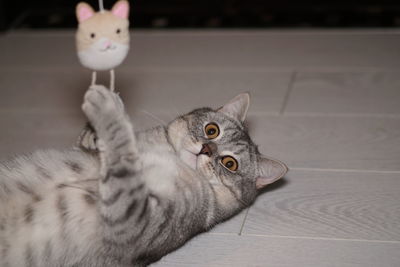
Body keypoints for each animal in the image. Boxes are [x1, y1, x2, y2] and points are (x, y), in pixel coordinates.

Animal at [0, 86, 288, 267]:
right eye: (211, 130)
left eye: (229, 163)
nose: (206, 149)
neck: (170, 155)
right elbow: (92, 141)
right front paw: (99, 125)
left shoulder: (137, 222)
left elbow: (122, 156)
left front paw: (108, 109)